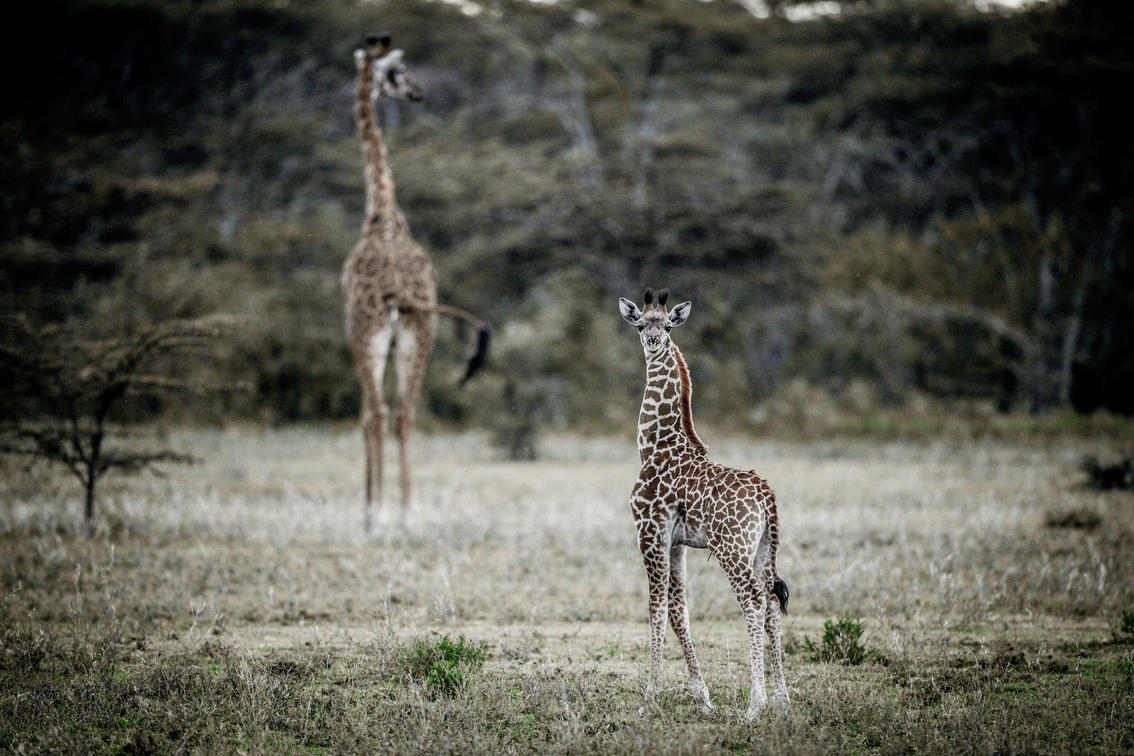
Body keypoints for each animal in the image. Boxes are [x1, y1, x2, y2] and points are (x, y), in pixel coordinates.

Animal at [344, 33, 489, 532]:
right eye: (400, 72)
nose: (418, 93)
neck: (382, 210)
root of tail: (394, 295)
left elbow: (366, 415)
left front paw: (370, 509)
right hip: (418, 335)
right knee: (405, 411)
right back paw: (408, 513)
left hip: (369, 335)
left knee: (378, 412)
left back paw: (381, 513)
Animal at [618, 287, 789, 720]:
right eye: (641, 324)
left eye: (667, 325)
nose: (653, 341)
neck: (654, 445)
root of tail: (766, 496)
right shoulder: (676, 542)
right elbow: (680, 612)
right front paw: (703, 697)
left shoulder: (650, 532)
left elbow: (656, 608)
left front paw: (650, 697)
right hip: (763, 550)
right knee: (770, 605)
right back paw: (783, 702)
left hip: (732, 550)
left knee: (754, 601)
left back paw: (755, 705)